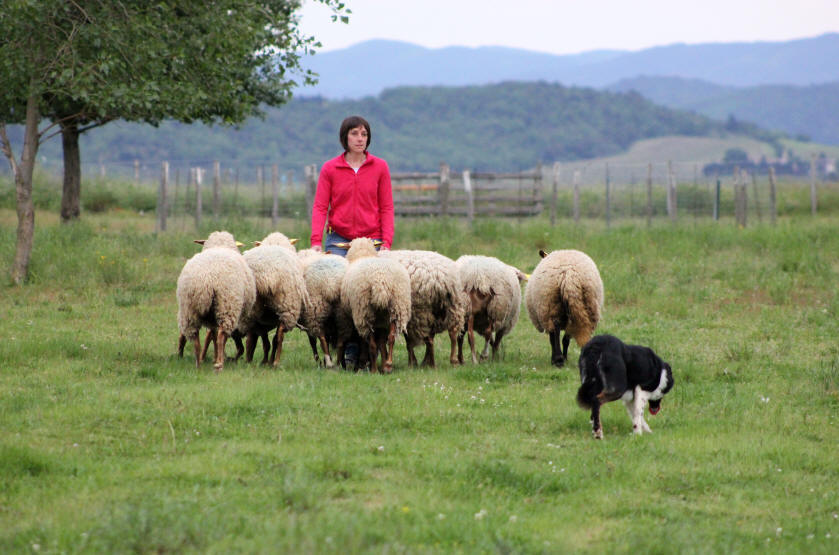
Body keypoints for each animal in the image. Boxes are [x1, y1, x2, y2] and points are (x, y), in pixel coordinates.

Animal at [176, 230, 256, 374]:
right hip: (227, 306)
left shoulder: (211, 319)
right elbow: (216, 337)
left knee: (195, 338)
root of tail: (207, 279)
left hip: (189, 309)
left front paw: (212, 357)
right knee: (221, 335)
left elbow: (211, 335)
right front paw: (217, 358)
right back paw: (219, 364)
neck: (219, 245)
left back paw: (199, 365)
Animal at [338, 238, 410, 374]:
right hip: (396, 309)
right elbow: (382, 343)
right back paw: (388, 365)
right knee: (391, 338)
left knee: (371, 344)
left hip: (364, 312)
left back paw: (374, 370)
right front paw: (383, 363)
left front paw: (364, 363)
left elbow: (366, 343)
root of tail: (380, 281)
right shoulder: (381, 322)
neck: (363, 255)